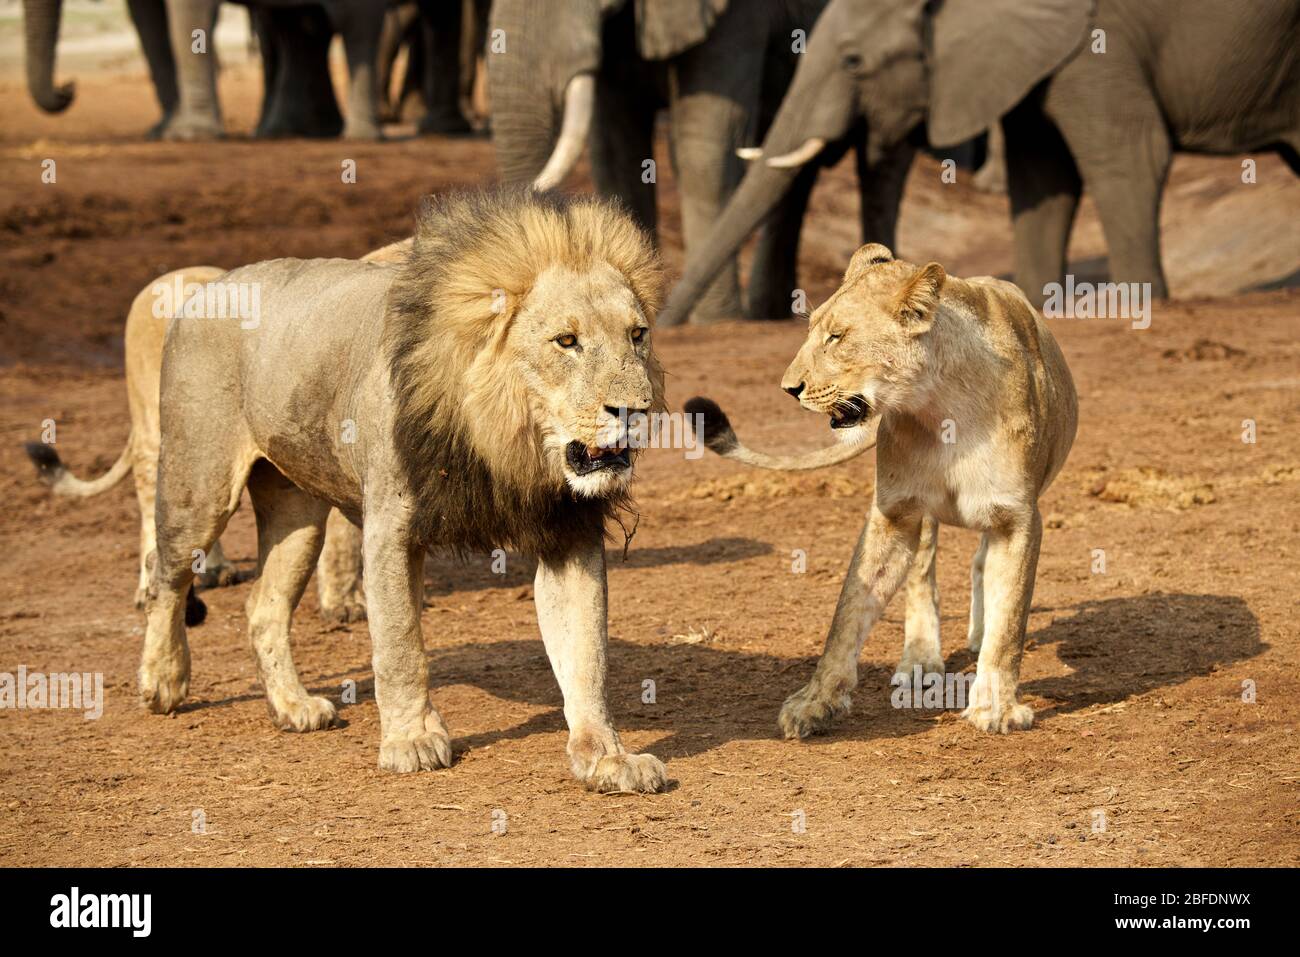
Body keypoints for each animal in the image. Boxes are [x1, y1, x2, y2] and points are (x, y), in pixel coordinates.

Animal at [142, 188, 670, 790]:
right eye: (566, 341)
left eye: (637, 334)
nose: (635, 410)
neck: (505, 440)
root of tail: (211, 285)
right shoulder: (391, 529)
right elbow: (400, 645)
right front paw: (411, 739)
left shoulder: (568, 531)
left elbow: (586, 651)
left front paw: (607, 756)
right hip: (199, 482)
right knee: (166, 576)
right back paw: (163, 681)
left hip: (297, 513)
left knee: (263, 606)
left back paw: (294, 707)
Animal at [660, 0, 1300, 325]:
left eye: (853, 61)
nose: (666, 327)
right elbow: (1040, 179)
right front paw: (1037, 304)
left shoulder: (1098, 40)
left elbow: (1131, 157)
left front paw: (1144, 304)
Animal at [691, 243, 1076, 738]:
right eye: (814, 332)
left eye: (836, 337)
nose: (788, 388)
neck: (940, 406)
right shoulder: (893, 512)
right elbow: (849, 612)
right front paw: (814, 702)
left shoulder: (1018, 518)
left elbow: (1009, 618)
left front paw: (995, 707)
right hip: (922, 516)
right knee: (923, 573)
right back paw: (920, 659)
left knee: (980, 566)